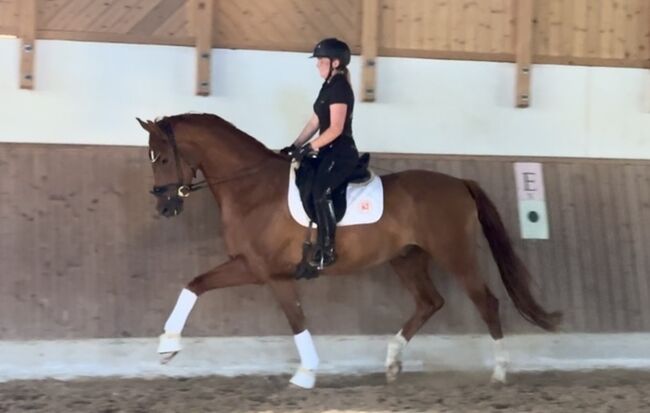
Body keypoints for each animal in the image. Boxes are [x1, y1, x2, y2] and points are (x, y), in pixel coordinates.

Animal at [137, 113, 561, 389]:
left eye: (163, 157)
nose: (164, 206)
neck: (252, 189)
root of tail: (459, 183)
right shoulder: (252, 267)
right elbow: (195, 284)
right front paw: (167, 347)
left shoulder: (266, 272)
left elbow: (295, 319)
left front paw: (305, 374)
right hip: (407, 259)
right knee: (430, 302)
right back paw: (392, 363)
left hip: (454, 255)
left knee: (486, 301)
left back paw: (500, 372)